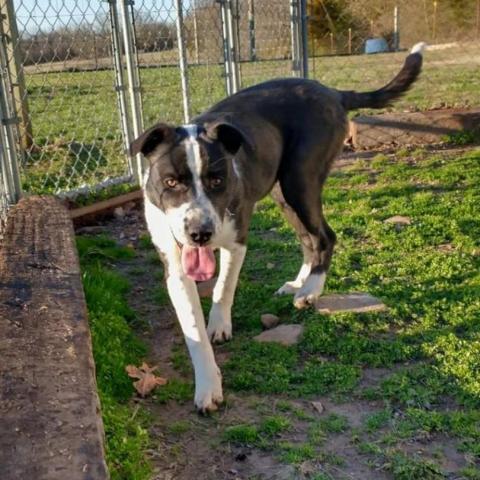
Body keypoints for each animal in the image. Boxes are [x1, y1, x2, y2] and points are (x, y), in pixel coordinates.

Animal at [130, 44, 424, 412]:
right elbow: (193, 330)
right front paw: (208, 384)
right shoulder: (175, 265)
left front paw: (219, 325)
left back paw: (310, 290)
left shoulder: (237, 240)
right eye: (170, 181)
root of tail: (332, 92)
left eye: (217, 180)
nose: (200, 233)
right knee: (308, 239)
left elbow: (223, 288)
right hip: (284, 193)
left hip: (300, 181)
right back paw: (299, 282)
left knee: (325, 236)